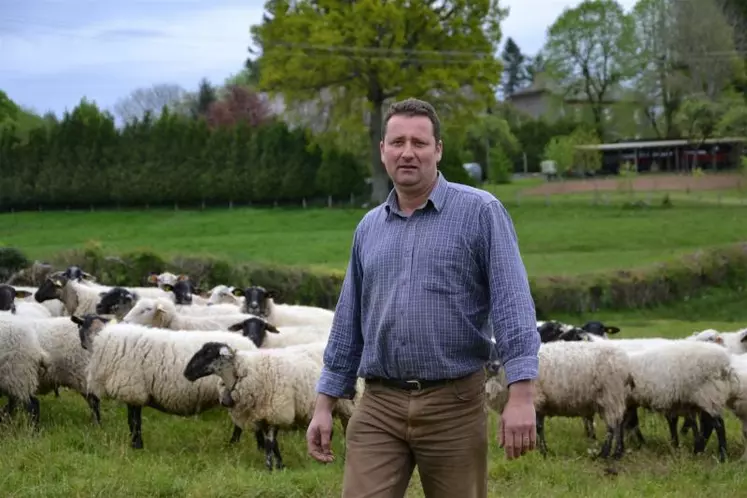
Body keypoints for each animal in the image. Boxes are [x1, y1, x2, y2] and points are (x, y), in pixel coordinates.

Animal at [73, 316, 260, 452]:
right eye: (82, 328)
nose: (82, 345)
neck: (103, 339)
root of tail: (250, 344)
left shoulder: (133, 390)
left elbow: (134, 422)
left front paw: (137, 446)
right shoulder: (134, 393)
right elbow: (132, 421)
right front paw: (135, 444)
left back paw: (234, 445)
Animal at [186, 340, 364, 472]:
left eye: (208, 354)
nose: (186, 373)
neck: (245, 371)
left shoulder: (275, 411)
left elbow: (270, 443)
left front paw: (270, 468)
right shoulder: (263, 415)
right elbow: (270, 443)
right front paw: (279, 465)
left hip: (350, 406)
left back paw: (346, 459)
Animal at [486, 340, 632, 462]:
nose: (493, 366)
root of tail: (624, 361)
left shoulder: (536, 399)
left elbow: (537, 428)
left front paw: (541, 453)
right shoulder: (540, 404)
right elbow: (539, 428)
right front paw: (541, 451)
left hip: (611, 395)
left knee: (612, 427)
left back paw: (605, 454)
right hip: (613, 398)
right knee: (620, 424)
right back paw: (617, 453)